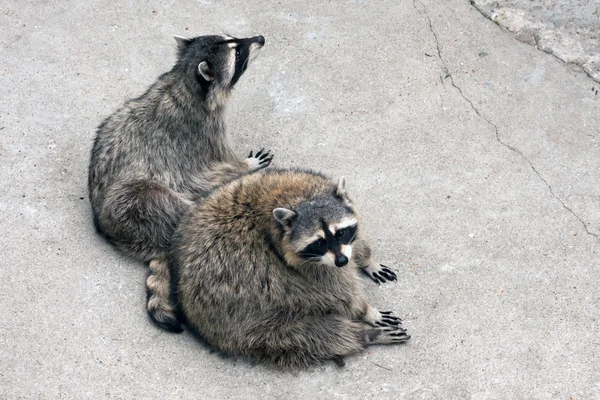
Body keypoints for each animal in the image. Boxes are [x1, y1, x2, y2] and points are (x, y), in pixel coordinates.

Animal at [171, 167, 410, 368]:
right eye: (319, 242)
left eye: (340, 232)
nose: (342, 261)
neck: (298, 197)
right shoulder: (299, 267)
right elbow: (339, 292)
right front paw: (366, 310)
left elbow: (356, 243)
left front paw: (367, 260)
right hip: (244, 321)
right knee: (312, 333)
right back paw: (363, 335)